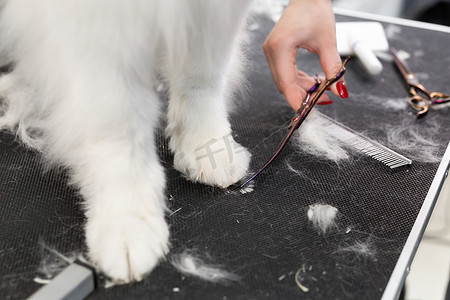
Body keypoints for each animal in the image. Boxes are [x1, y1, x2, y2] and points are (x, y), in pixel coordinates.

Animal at [0, 0, 253, 282]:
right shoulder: (100, 24)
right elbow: (121, 118)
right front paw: (127, 221)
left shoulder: (212, 14)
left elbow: (202, 76)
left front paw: (209, 145)